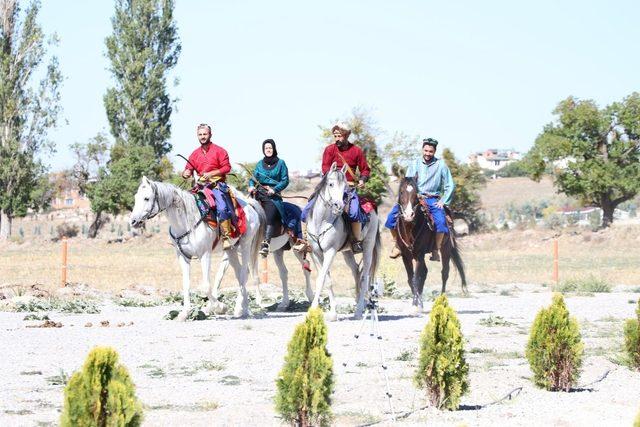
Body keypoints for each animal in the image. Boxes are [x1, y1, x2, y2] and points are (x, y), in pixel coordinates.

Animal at [130, 176, 264, 320]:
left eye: (146, 198)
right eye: (136, 197)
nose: (133, 221)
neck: (187, 222)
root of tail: (250, 205)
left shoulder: (205, 255)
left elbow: (205, 286)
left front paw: (220, 307)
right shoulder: (183, 256)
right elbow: (186, 284)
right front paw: (184, 313)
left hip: (245, 245)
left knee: (244, 274)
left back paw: (240, 308)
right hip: (231, 249)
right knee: (239, 273)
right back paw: (244, 308)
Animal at [304, 164, 380, 320]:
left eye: (345, 186)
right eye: (331, 184)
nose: (339, 206)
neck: (322, 221)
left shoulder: (330, 252)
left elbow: (321, 279)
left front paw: (314, 309)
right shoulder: (316, 253)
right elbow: (326, 280)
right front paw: (332, 313)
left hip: (368, 247)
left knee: (365, 277)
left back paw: (359, 311)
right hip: (348, 252)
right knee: (356, 272)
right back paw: (358, 303)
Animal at [392, 176, 468, 312]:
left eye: (416, 193)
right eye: (401, 192)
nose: (408, 214)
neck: (410, 228)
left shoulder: (419, 254)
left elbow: (416, 279)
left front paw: (415, 305)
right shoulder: (406, 256)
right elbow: (411, 279)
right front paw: (417, 304)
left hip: (446, 249)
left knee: (444, 273)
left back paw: (442, 300)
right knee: (425, 273)